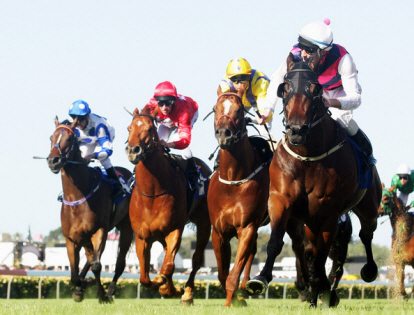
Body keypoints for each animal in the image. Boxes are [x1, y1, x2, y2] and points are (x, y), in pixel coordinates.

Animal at [47, 118, 133, 304]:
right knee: (89, 258)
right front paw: (78, 289)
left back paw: (110, 292)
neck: (77, 196)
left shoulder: (100, 230)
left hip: (126, 228)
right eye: (51, 137)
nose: (53, 161)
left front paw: (102, 295)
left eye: (70, 139)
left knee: (119, 263)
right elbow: (74, 272)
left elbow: (97, 265)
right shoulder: (71, 238)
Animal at [124, 109, 212, 306]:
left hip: (204, 223)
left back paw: (187, 294)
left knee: (195, 260)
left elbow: (169, 265)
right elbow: (144, 277)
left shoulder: (174, 229)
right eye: (129, 128)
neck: (153, 192)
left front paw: (166, 285)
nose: (133, 150)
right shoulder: (142, 236)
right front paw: (166, 287)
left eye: (149, 128)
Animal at [209, 92, 274, 308]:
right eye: (215, 108)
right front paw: (236, 298)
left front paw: (232, 301)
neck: (233, 179)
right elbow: (222, 273)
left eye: (239, 110)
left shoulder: (247, 226)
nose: (224, 133)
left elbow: (233, 273)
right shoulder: (219, 231)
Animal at [246, 56, 382, 308]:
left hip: (367, 206)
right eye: (284, 88)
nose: (296, 130)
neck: (308, 158)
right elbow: (277, 241)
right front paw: (260, 279)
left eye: (315, 89)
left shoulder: (328, 210)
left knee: (366, 234)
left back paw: (364, 272)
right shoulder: (281, 200)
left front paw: (323, 290)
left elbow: (320, 255)